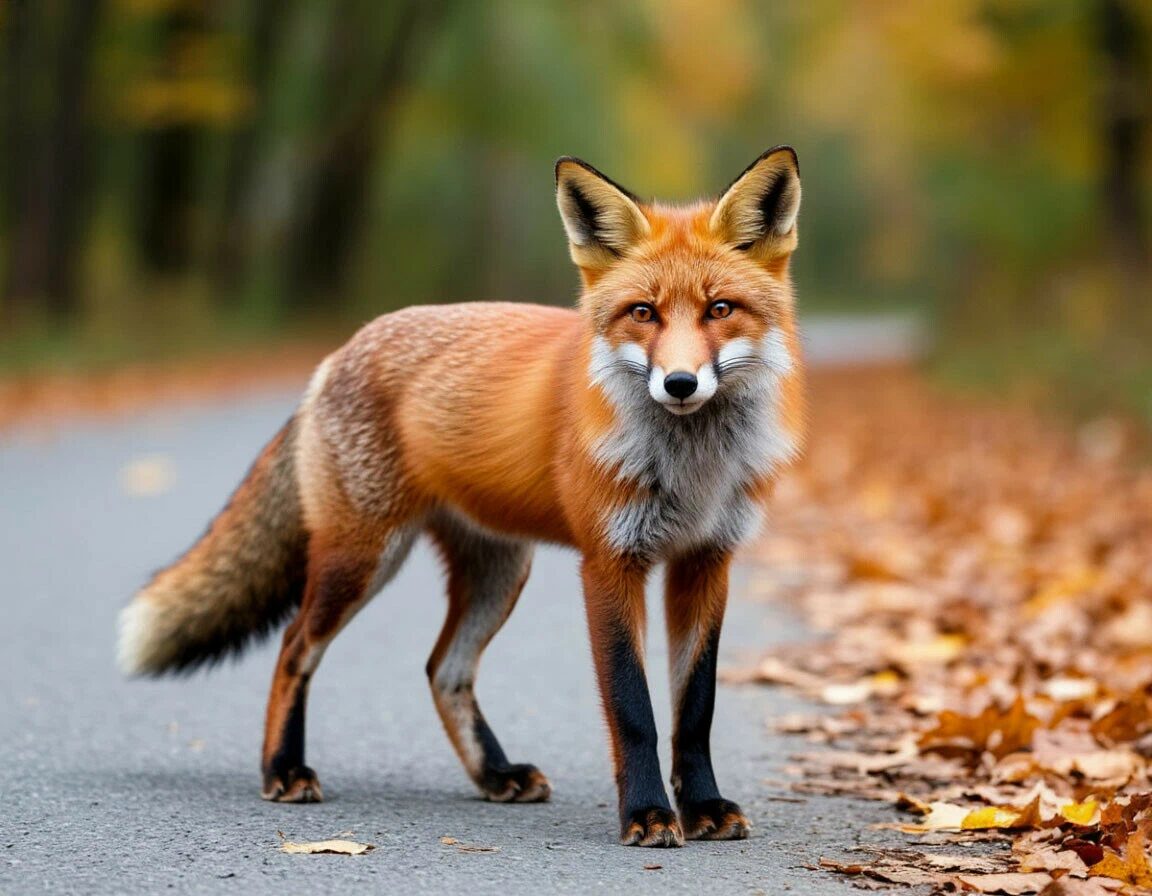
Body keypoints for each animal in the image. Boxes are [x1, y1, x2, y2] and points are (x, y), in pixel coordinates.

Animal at [118, 147, 805, 848]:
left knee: (441, 668)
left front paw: (703, 808)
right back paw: (284, 769)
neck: (693, 468)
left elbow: (696, 710)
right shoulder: (610, 562)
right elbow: (633, 707)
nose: (680, 383)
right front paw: (646, 813)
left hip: (498, 572)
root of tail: (340, 353)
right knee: (293, 647)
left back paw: (494, 774)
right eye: (643, 313)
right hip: (361, 560)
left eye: (719, 310)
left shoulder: (706, 561)